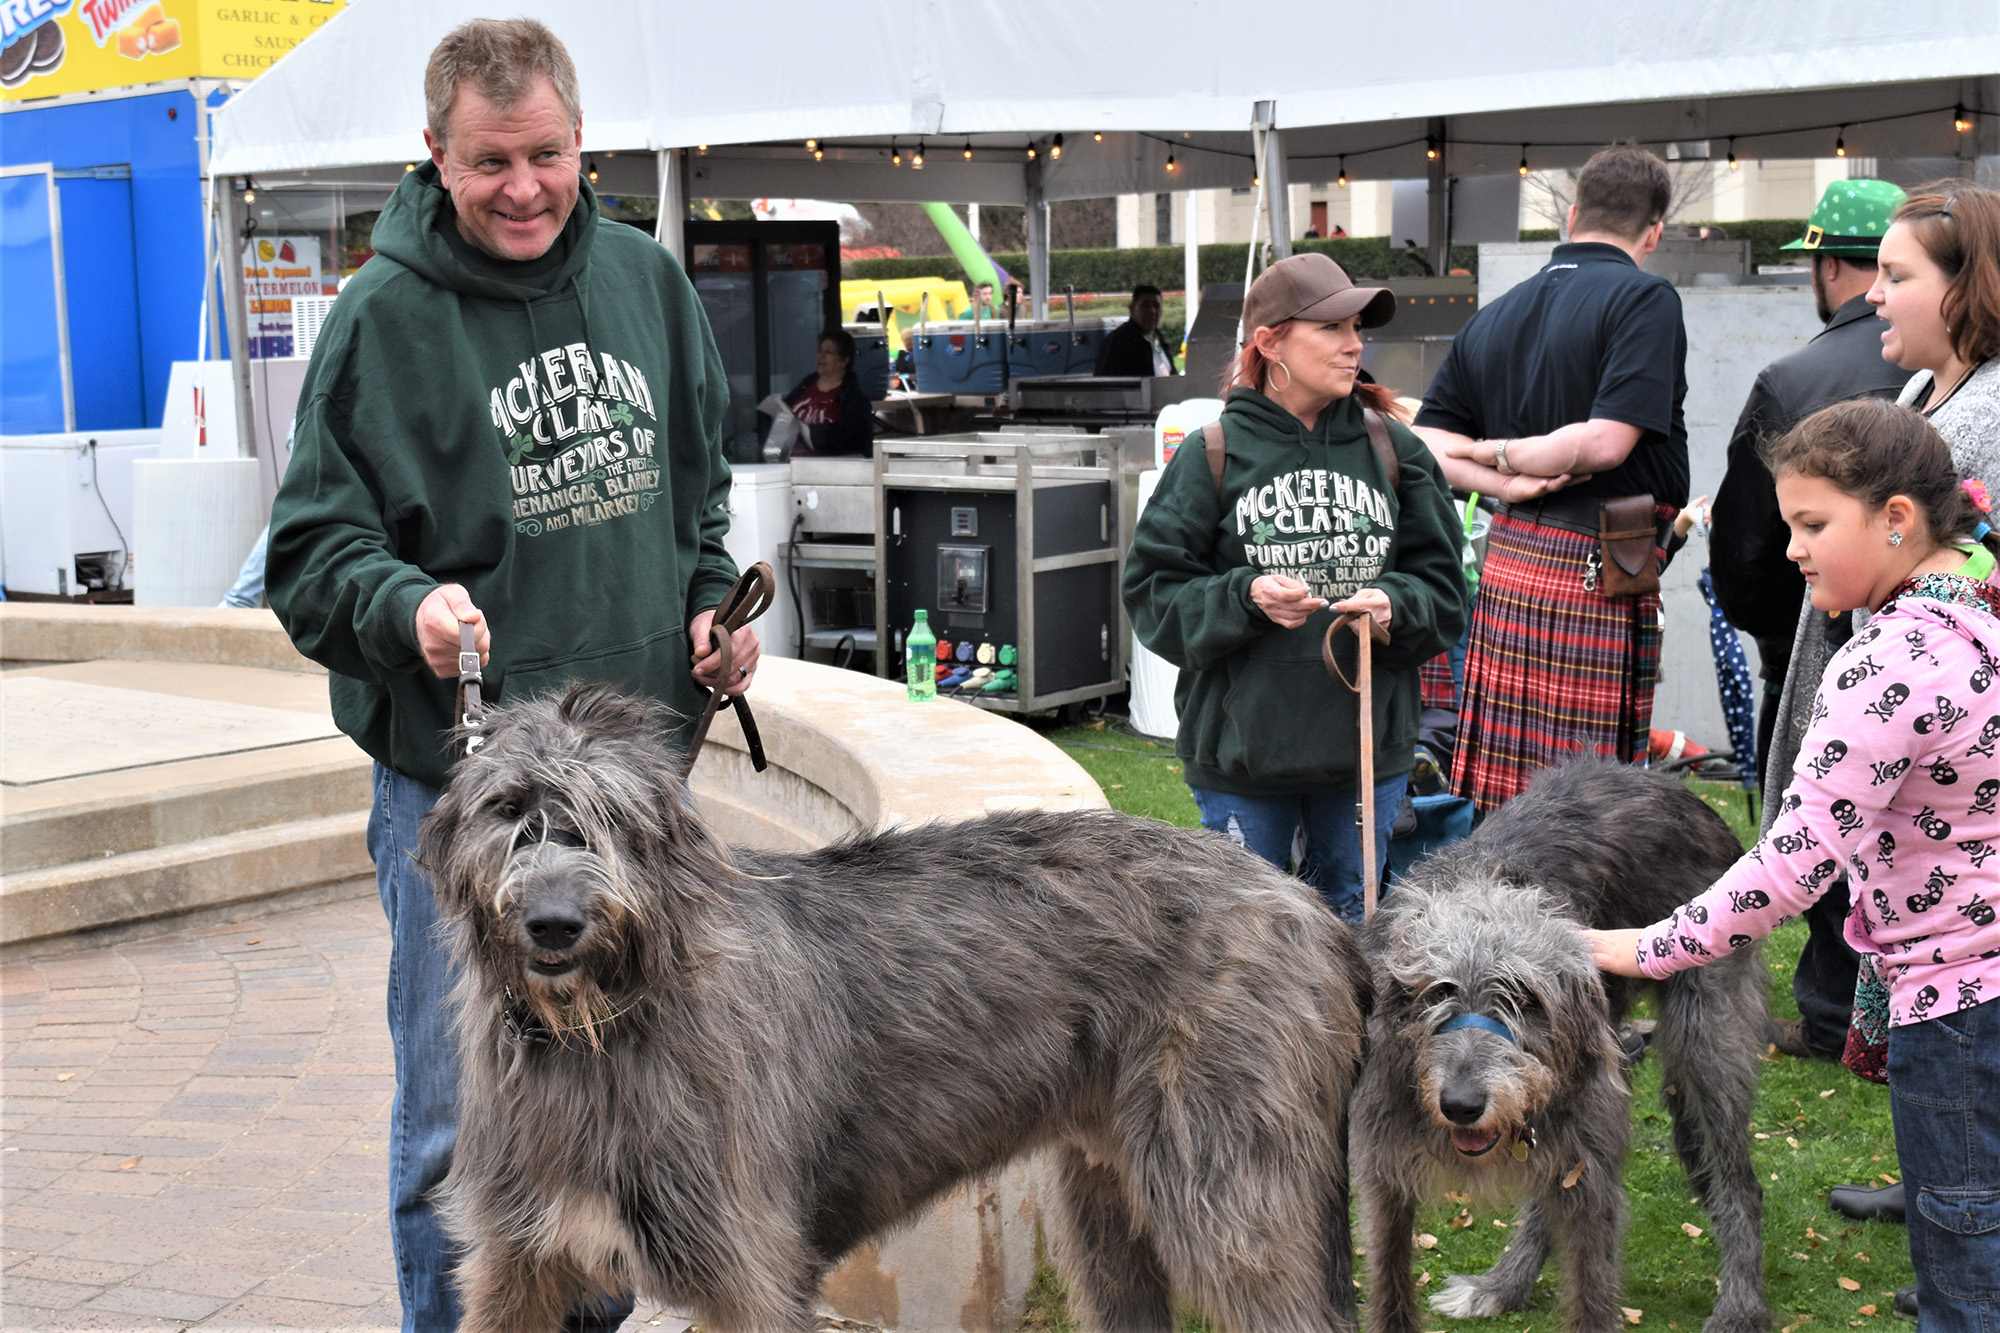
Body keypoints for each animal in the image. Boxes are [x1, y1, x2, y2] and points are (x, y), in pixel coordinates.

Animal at [414, 684, 1368, 1328]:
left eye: (613, 818)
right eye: (508, 809)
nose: (553, 923)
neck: (601, 1035)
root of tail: (1313, 906)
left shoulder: (752, 1272)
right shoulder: (513, 1263)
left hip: (1232, 1202)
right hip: (1109, 1202)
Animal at [1360, 756, 1768, 1328]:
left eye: (1525, 998)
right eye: (1437, 992)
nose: (1461, 1105)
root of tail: (1667, 780)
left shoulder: (1594, 1174)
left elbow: (1593, 1286)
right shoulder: (1384, 1170)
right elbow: (1389, 1282)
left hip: (1707, 1039)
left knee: (1740, 1183)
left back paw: (1741, 1305)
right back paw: (1503, 1284)